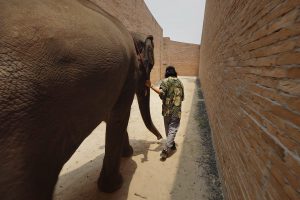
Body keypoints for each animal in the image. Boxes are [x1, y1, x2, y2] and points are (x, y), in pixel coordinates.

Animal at [0, 0, 162, 200]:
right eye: (150, 65)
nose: (159, 139)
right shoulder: (128, 73)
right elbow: (119, 116)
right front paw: (115, 183)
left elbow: (111, 115)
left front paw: (126, 155)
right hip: (21, 119)